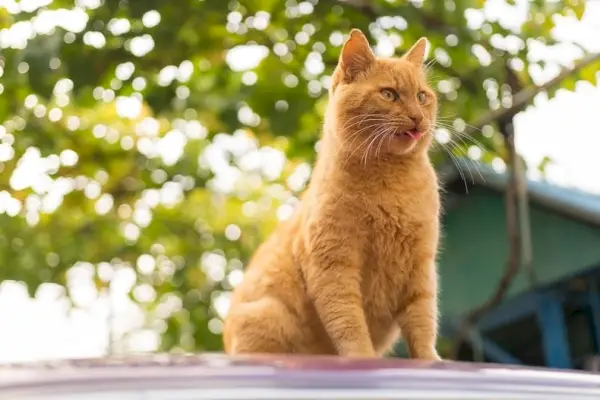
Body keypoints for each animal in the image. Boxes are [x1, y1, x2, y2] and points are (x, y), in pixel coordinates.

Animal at [224, 28, 440, 360]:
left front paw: (430, 361)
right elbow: (349, 323)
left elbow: (422, 324)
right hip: (266, 316)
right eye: (389, 94)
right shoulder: (333, 266)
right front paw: (361, 357)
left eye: (422, 97)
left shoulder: (420, 268)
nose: (418, 117)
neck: (390, 182)